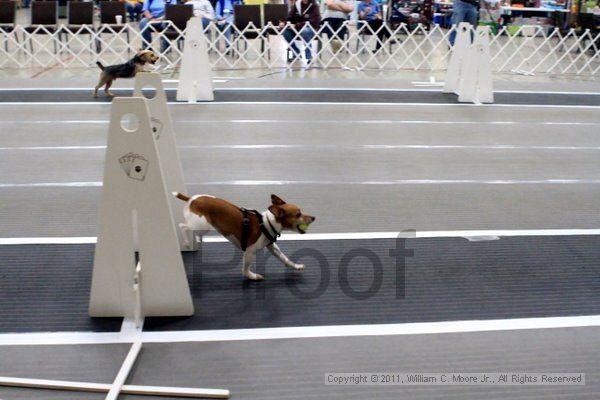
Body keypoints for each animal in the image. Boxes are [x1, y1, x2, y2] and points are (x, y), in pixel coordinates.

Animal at [173, 192, 316, 280]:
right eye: (298, 214)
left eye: (300, 211)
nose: (314, 217)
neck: (267, 223)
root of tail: (192, 199)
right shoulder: (249, 252)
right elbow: (246, 270)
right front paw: (252, 277)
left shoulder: (272, 248)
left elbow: (285, 258)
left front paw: (296, 266)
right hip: (202, 226)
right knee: (182, 226)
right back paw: (187, 242)